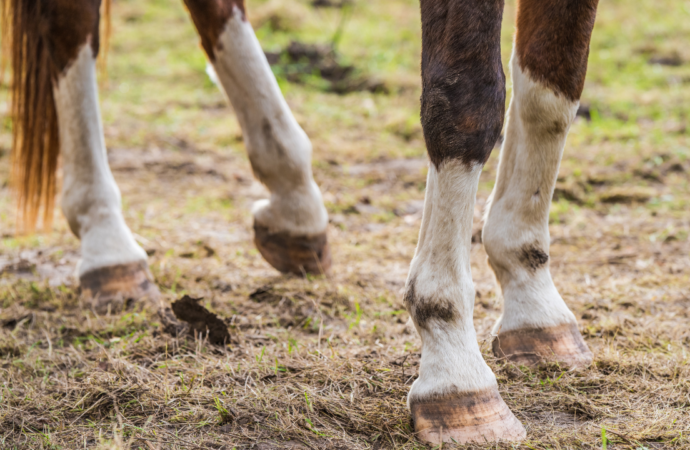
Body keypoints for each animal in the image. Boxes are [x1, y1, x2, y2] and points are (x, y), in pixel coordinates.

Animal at [1, 0, 596, 442]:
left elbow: (553, 85)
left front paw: (531, 298)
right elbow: (468, 99)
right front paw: (454, 366)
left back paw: (294, 202)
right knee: (68, 21)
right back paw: (107, 243)